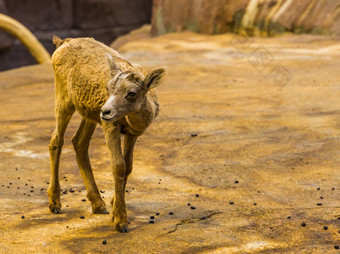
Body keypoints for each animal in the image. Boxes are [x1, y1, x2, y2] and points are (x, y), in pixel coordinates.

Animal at [47, 35, 165, 232]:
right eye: (109, 89)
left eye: (131, 93)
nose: (106, 111)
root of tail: (63, 43)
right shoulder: (111, 127)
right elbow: (118, 166)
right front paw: (120, 221)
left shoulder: (132, 134)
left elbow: (128, 167)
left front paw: (113, 204)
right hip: (64, 100)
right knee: (56, 141)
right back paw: (55, 205)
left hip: (90, 115)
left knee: (79, 143)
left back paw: (99, 205)